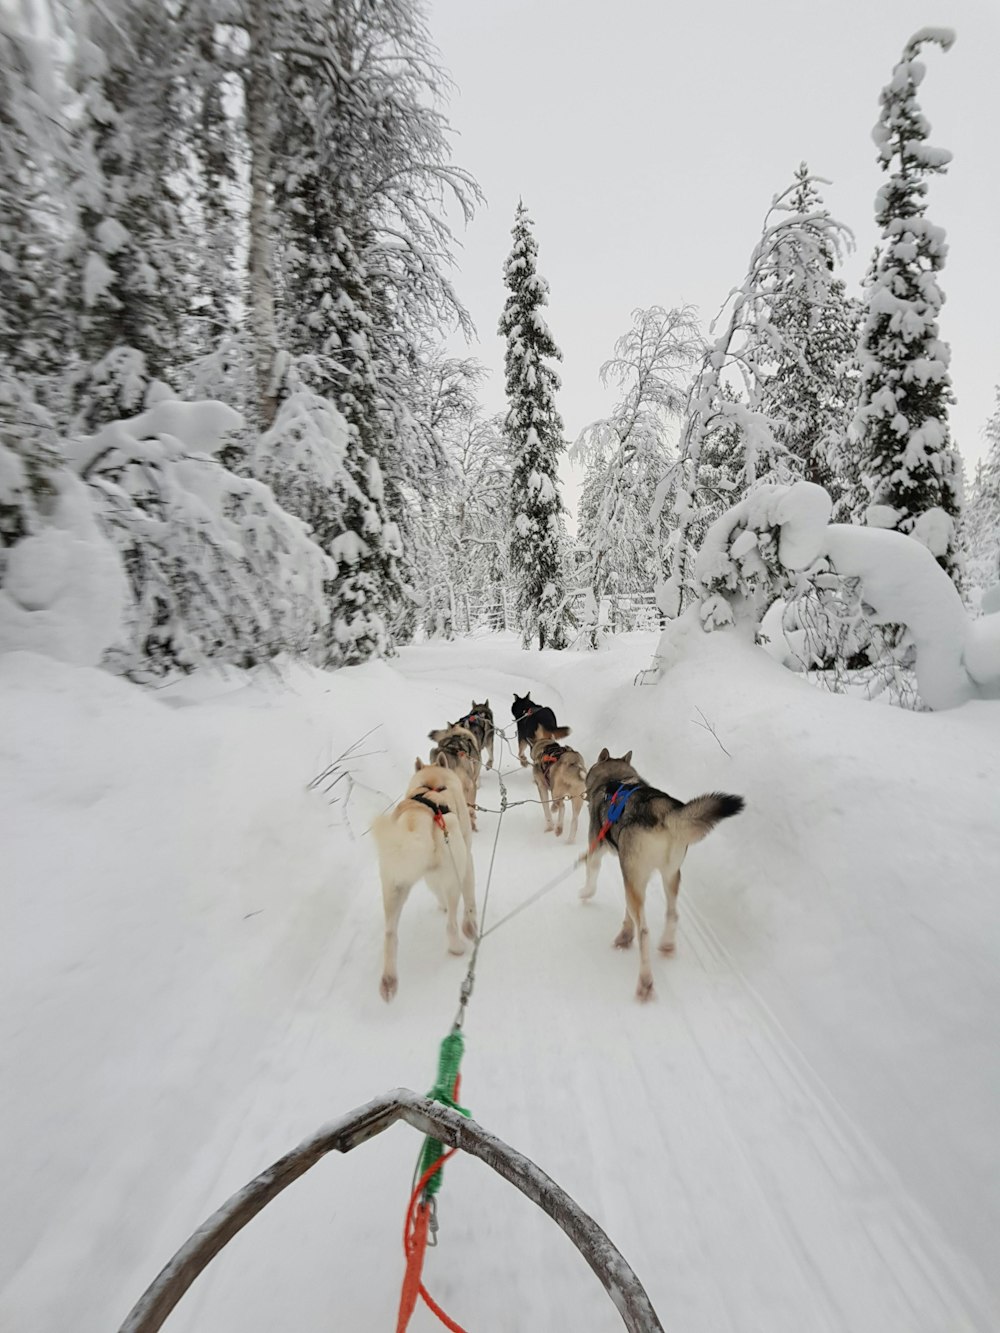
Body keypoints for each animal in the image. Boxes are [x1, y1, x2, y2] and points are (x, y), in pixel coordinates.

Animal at [373, 762, 477, 1002]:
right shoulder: (466, 862)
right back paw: (457, 947)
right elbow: (470, 901)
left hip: (393, 889)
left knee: (390, 934)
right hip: (453, 878)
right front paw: (471, 927)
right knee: (451, 925)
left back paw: (389, 981)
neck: (431, 785)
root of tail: (418, 815)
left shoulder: (432, 876)